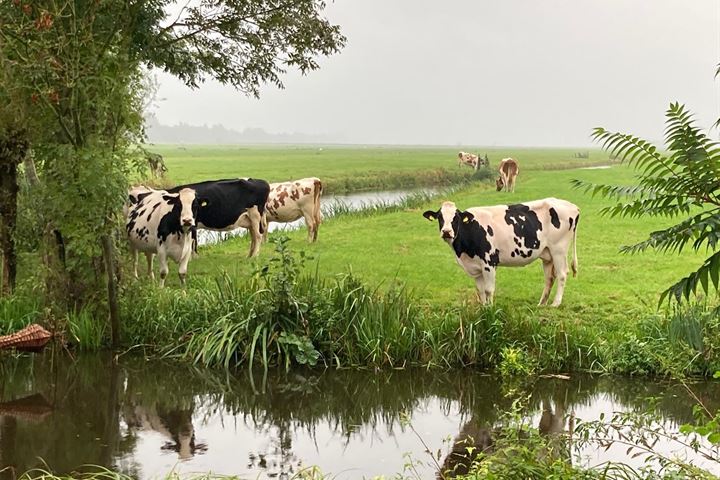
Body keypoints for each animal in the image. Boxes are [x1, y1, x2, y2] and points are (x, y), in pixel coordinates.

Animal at [422, 197, 580, 306]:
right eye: (440, 218)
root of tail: (573, 206)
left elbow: (488, 289)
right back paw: (541, 304)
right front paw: (483, 308)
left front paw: (490, 310)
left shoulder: (489, 263)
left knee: (561, 274)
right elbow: (480, 291)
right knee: (549, 277)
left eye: (456, 218)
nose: (446, 232)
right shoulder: (475, 267)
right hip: (547, 254)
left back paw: (555, 304)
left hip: (559, 249)